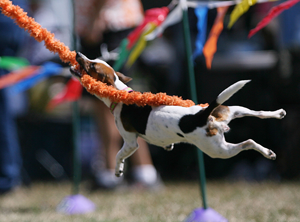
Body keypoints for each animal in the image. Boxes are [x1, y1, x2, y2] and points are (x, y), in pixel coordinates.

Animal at [70, 52, 286, 177]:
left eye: (91, 66)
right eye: (93, 60)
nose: (78, 53)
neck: (121, 94)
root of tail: (203, 115)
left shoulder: (130, 142)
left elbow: (118, 155)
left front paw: (118, 170)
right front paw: (168, 146)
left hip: (217, 150)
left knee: (247, 142)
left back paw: (267, 152)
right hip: (230, 109)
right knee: (258, 114)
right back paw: (278, 114)